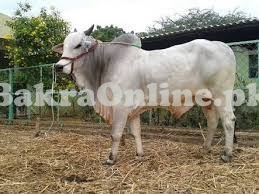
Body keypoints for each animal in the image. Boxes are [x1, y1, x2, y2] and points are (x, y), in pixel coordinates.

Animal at [53, 25, 238, 164]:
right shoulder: (133, 111)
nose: (58, 66)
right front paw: (139, 154)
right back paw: (205, 148)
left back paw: (226, 154)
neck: (105, 63)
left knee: (228, 121)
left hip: (222, 95)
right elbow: (136, 132)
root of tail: (223, 46)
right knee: (212, 121)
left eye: (78, 45)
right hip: (206, 99)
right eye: (64, 46)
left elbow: (116, 134)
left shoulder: (120, 107)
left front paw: (111, 158)